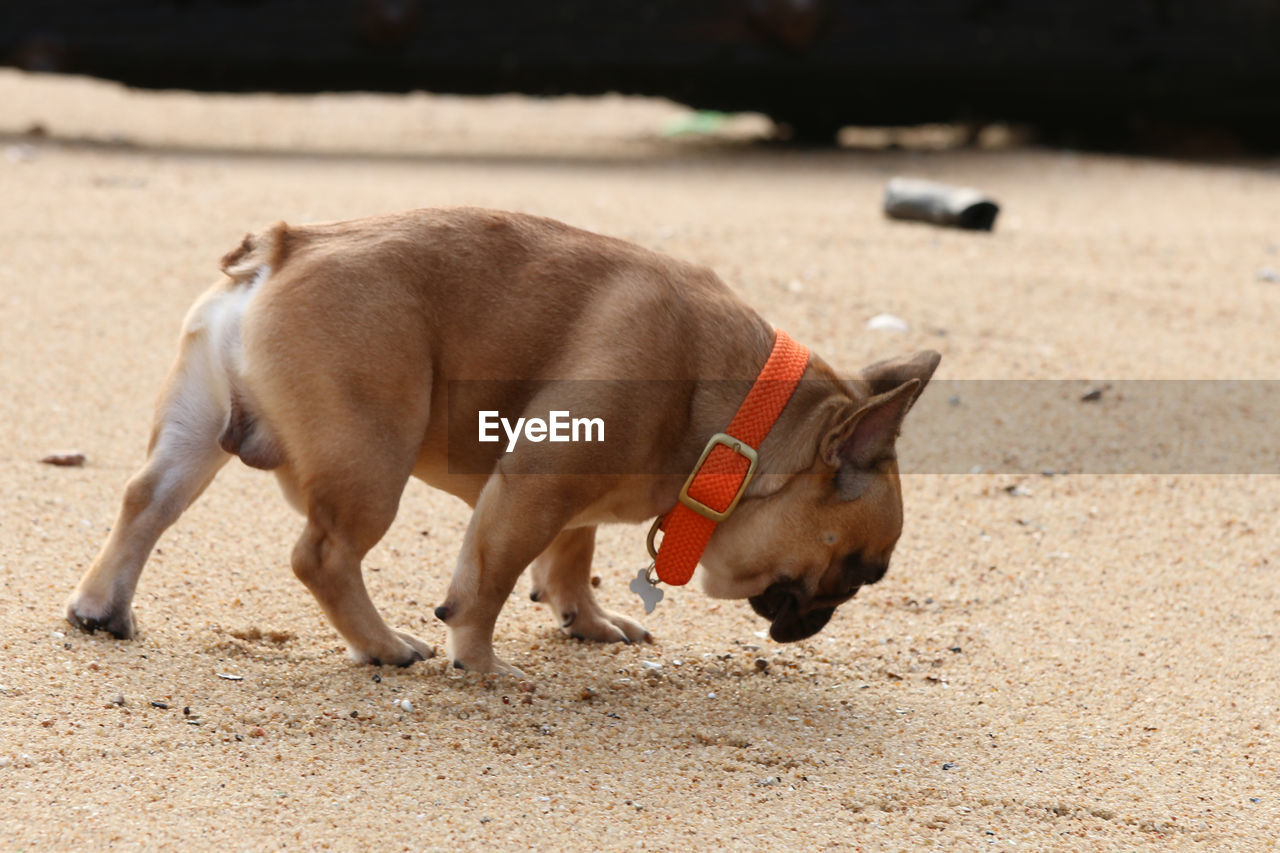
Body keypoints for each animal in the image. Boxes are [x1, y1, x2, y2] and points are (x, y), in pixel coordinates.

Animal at [64, 206, 936, 671]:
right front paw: (481, 662)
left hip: (194, 431)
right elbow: (485, 581)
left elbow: (569, 557)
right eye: (863, 569)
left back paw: (101, 608)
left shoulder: (575, 494)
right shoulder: (532, 486)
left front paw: (588, 620)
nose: (821, 618)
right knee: (323, 554)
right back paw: (385, 646)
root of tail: (285, 246)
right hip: (371, 458)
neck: (738, 417)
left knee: (144, 502)